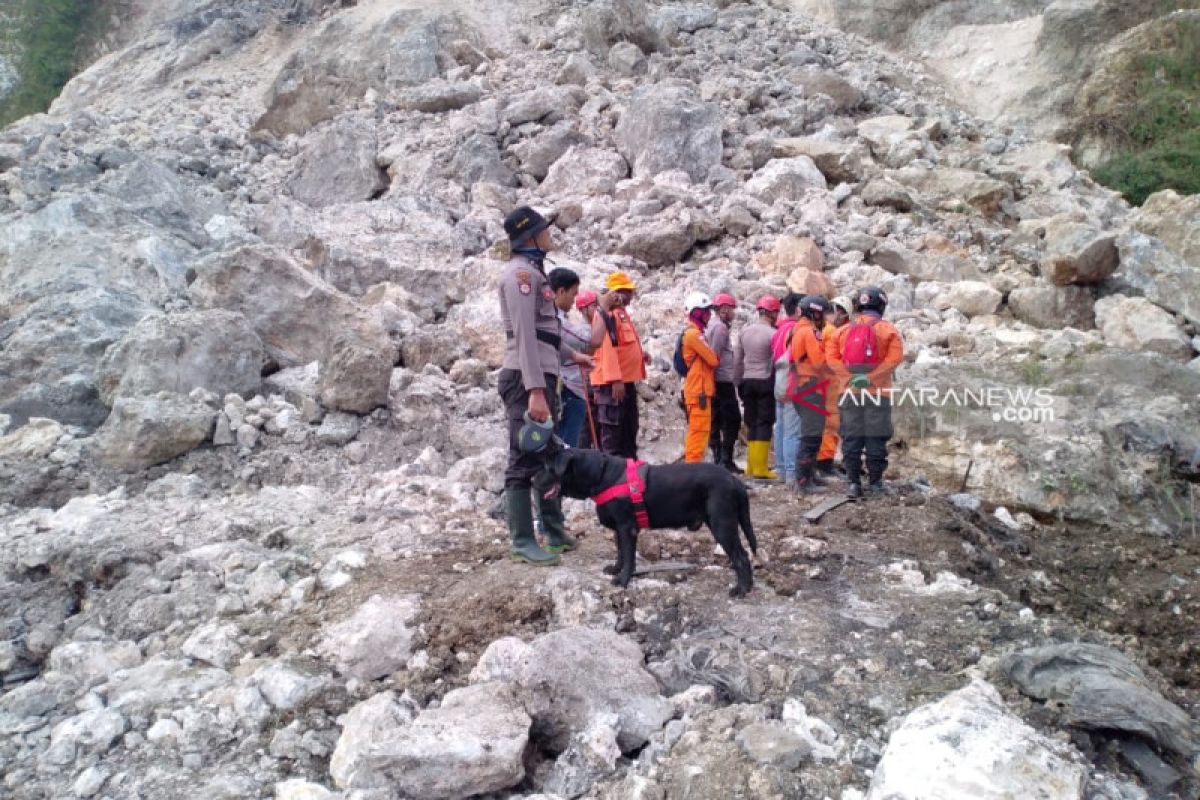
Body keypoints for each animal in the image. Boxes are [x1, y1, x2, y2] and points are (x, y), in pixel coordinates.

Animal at [537, 450, 758, 594]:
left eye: (549, 468)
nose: (533, 480)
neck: (601, 475)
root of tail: (734, 480)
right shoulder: (619, 529)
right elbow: (620, 552)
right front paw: (616, 569)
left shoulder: (627, 528)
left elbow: (629, 556)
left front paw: (623, 579)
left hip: (722, 525)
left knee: (742, 556)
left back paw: (742, 589)